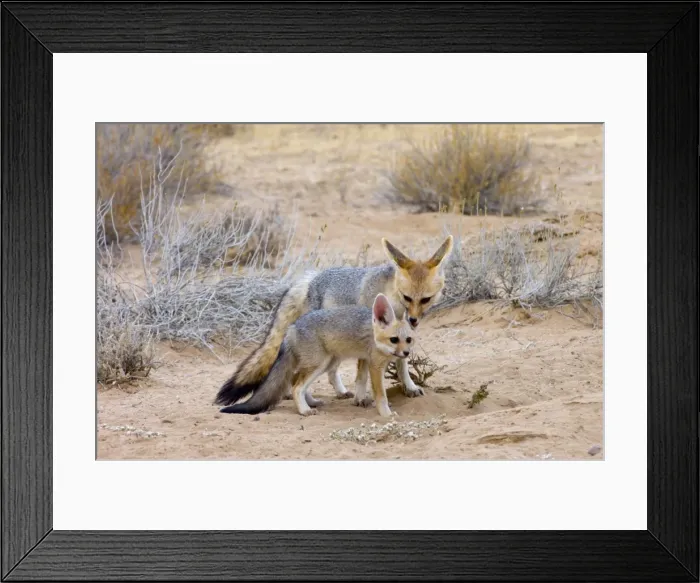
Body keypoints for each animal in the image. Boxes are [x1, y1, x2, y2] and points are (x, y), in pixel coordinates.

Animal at [217, 293, 414, 418]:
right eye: (394, 340)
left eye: (409, 340)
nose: (406, 353)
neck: (375, 336)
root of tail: (292, 327)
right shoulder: (375, 366)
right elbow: (381, 395)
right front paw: (386, 414)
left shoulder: (365, 359)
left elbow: (360, 380)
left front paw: (360, 400)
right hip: (319, 364)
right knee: (297, 386)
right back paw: (304, 410)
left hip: (324, 364)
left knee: (295, 381)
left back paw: (310, 403)